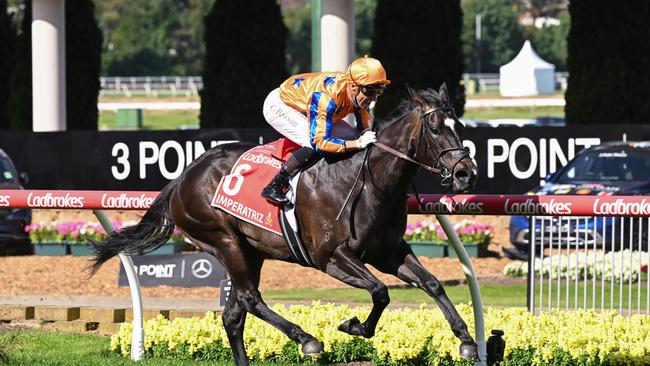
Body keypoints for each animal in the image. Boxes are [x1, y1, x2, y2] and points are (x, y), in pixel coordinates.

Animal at [90, 84, 476, 364]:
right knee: (249, 299)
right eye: (435, 128)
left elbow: (432, 283)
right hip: (223, 240)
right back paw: (307, 339)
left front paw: (467, 340)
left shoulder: (389, 252)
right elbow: (381, 291)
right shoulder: (331, 258)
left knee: (234, 314)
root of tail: (184, 175)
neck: (369, 181)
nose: (465, 173)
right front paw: (353, 325)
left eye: (460, 126)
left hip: (250, 251)